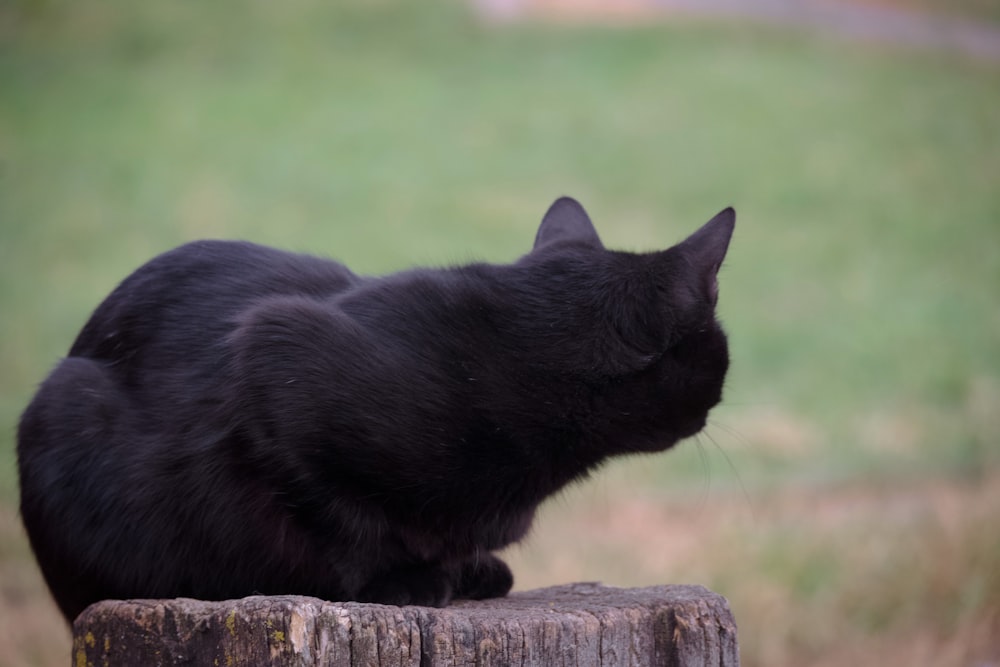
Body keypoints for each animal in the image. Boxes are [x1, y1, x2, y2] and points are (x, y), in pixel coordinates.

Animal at [15, 197, 736, 620]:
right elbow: (343, 517)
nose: (710, 410)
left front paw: (467, 567)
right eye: (718, 356)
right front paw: (402, 580)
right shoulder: (274, 366)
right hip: (65, 410)